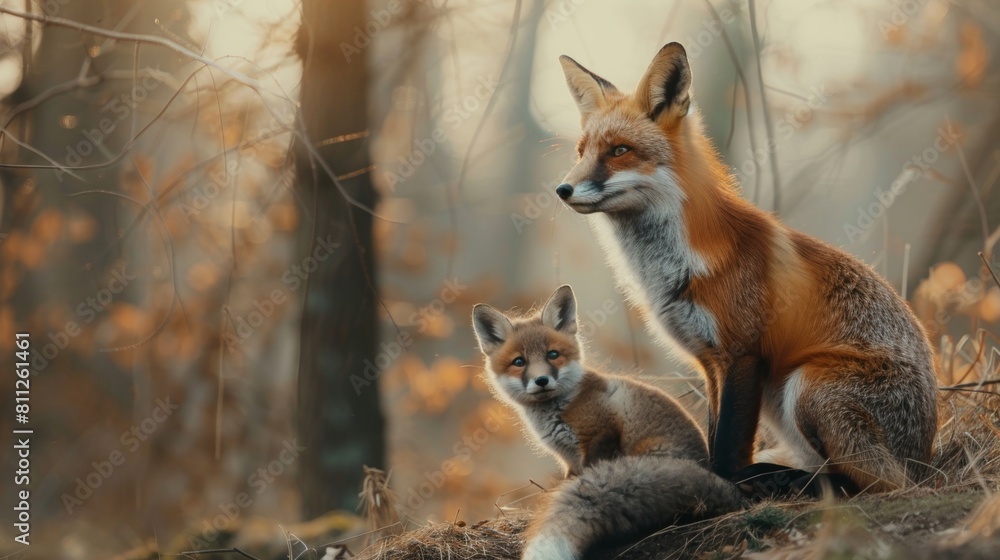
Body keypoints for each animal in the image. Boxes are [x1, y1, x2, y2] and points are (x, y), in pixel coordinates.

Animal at [472, 285, 743, 560]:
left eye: (553, 355)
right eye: (519, 362)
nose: (542, 381)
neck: (563, 406)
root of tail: (711, 475)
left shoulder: (600, 435)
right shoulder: (569, 459)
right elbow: (571, 481)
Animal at [553, 42, 939, 495]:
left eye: (619, 151)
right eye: (581, 152)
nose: (562, 189)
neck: (674, 267)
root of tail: (924, 458)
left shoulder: (742, 351)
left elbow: (727, 445)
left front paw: (727, 484)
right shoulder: (709, 361)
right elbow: (714, 430)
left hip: (810, 383)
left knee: (875, 482)